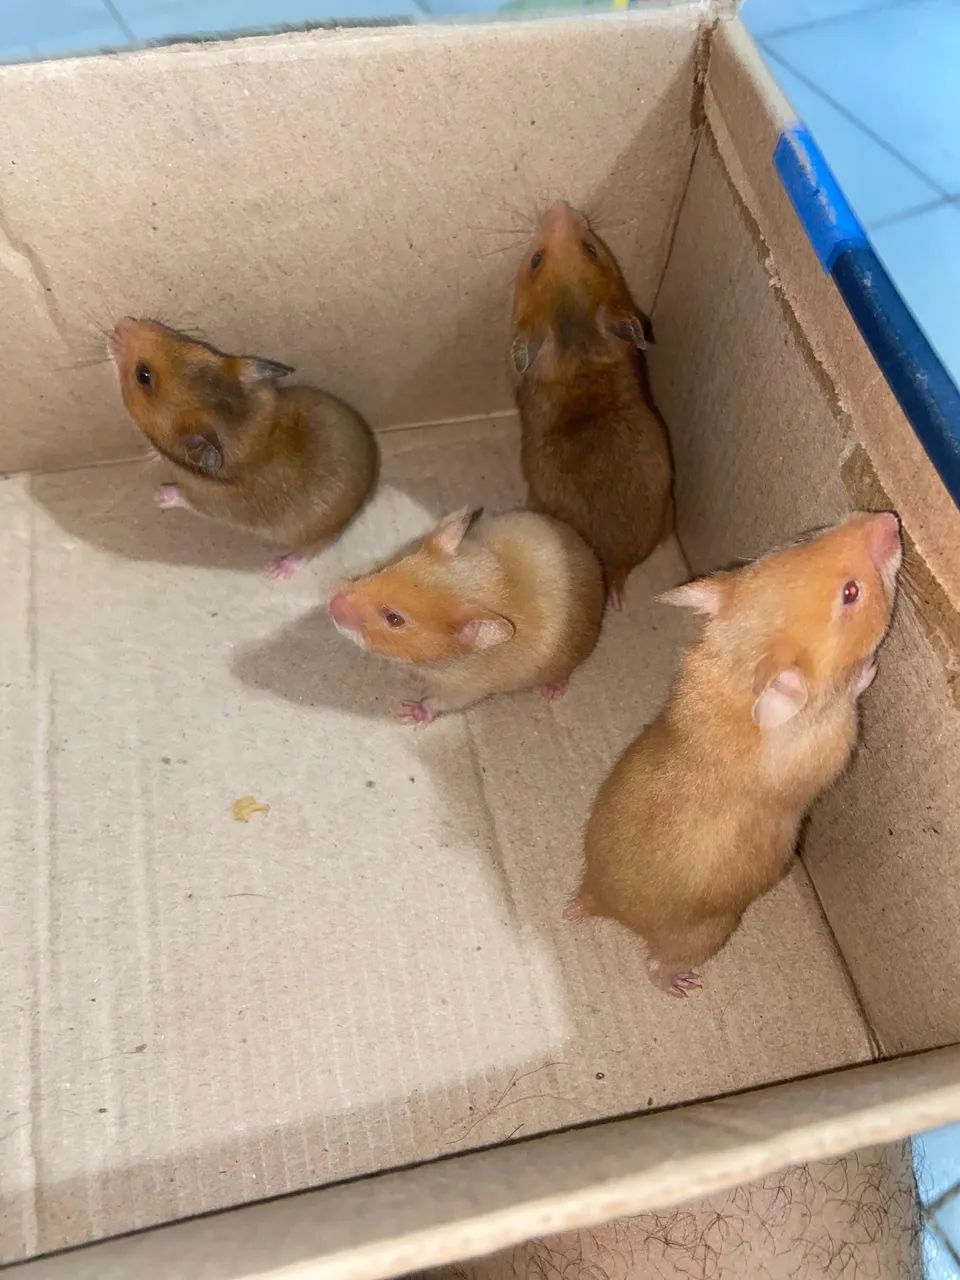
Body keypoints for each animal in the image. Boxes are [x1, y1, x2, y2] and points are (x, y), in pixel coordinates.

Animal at [109, 318, 378, 578]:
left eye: (143, 375)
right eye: (192, 342)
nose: (121, 322)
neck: (240, 428)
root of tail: (369, 484)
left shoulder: (205, 502)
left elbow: (182, 496)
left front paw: (158, 495)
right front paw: (150, 454)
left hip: (314, 534)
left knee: (315, 548)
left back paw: (278, 570)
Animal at [328, 507, 604, 724]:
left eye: (394, 619)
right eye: (385, 567)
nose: (331, 604)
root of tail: (596, 564)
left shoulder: (467, 687)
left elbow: (440, 701)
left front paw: (408, 713)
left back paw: (553, 690)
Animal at [569, 511, 902, 997]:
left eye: (805, 538)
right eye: (851, 593)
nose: (890, 519)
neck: (736, 678)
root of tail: (603, 903)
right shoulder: (831, 743)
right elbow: (847, 709)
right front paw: (867, 670)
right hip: (708, 933)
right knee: (656, 965)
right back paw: (681, 986)